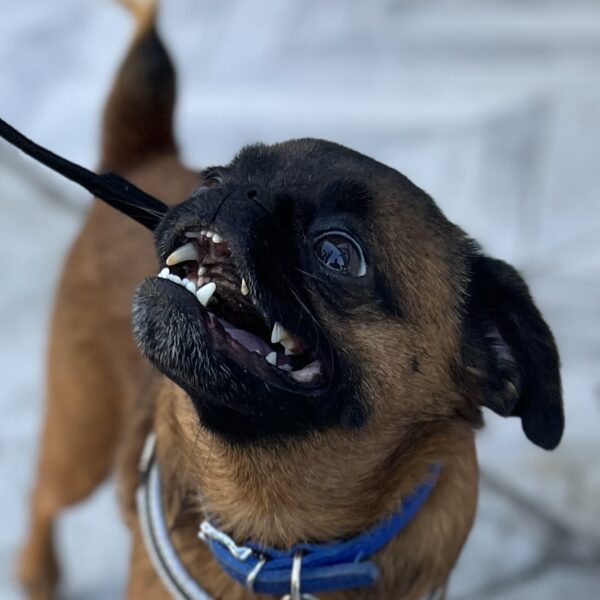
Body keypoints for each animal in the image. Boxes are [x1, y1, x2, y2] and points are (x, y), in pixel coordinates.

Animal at [16, 2, 564, 596]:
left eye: (338, 254)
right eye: (214, 179)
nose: (234, 192)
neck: (280, 544)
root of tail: (144, 154)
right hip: (80, 443)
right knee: (42, 496)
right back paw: (37, 572)